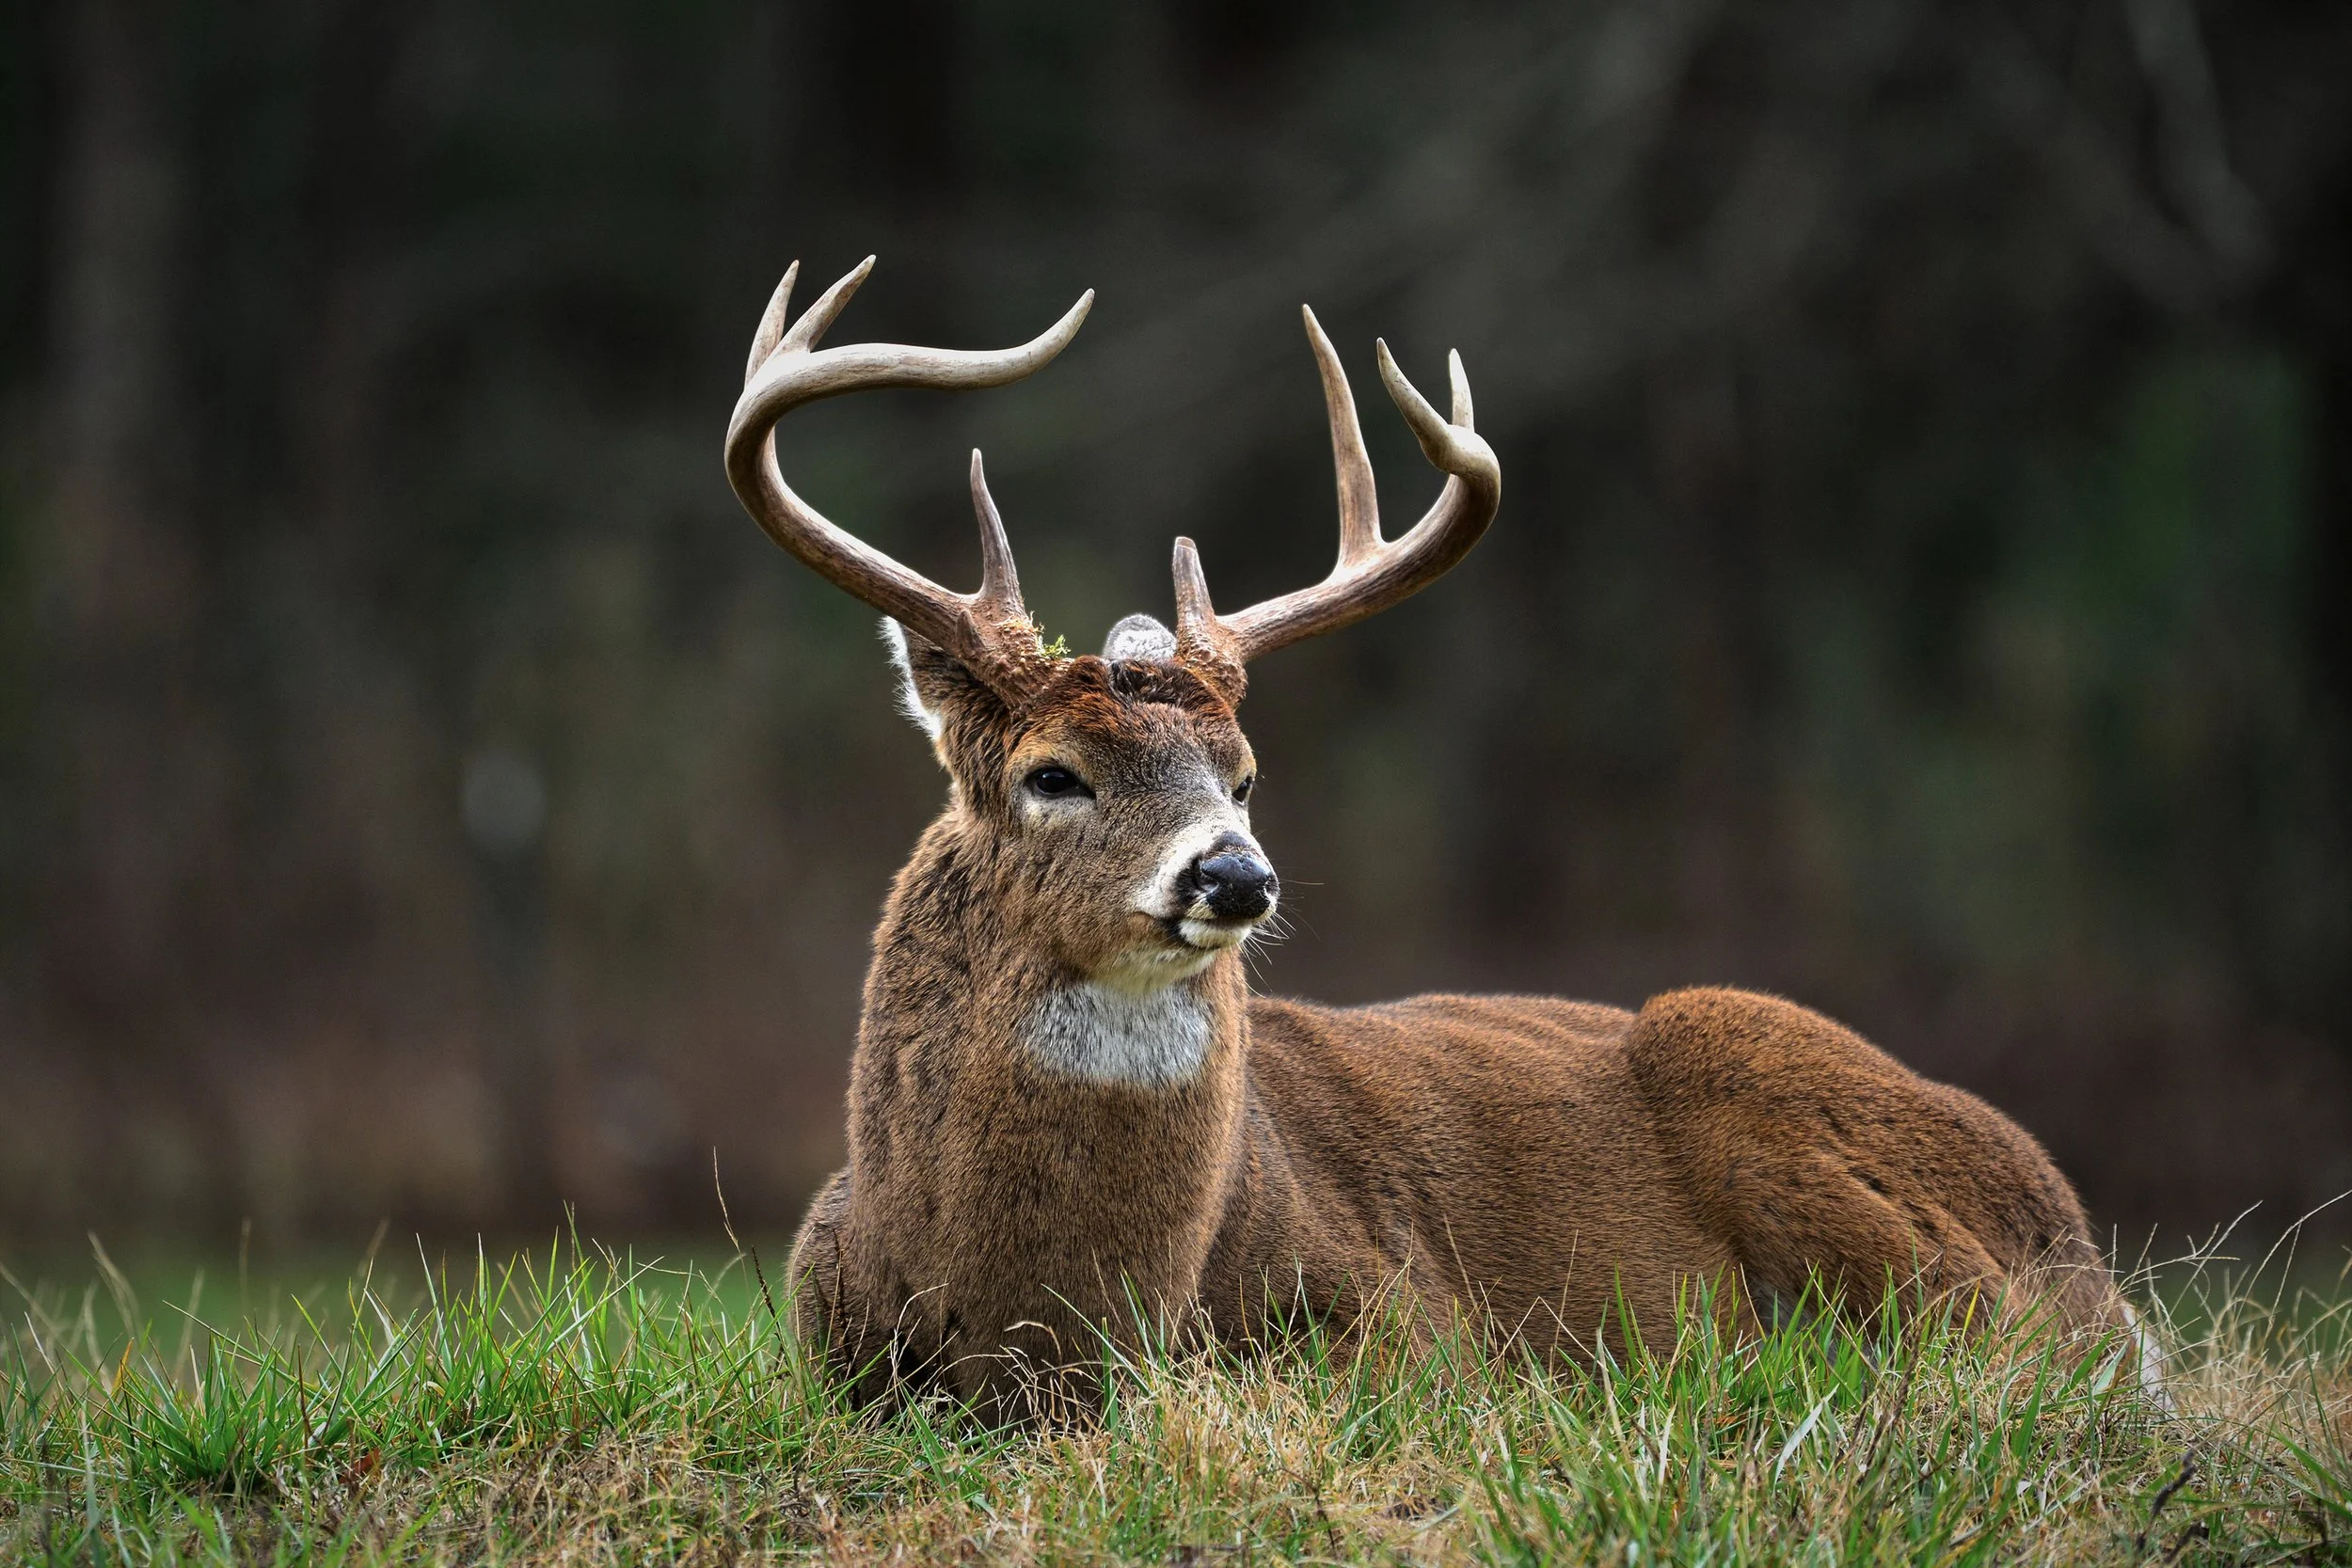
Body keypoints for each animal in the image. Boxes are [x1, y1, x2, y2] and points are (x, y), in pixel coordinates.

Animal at [723, 257, 2151, 1419]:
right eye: (1051, 773)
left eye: (1245, 774)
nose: (1234, 872)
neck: (1040, 1327)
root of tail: (2080, 1236)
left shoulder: (1408, 1332)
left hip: (1770, 1074)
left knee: (1998, 1345)